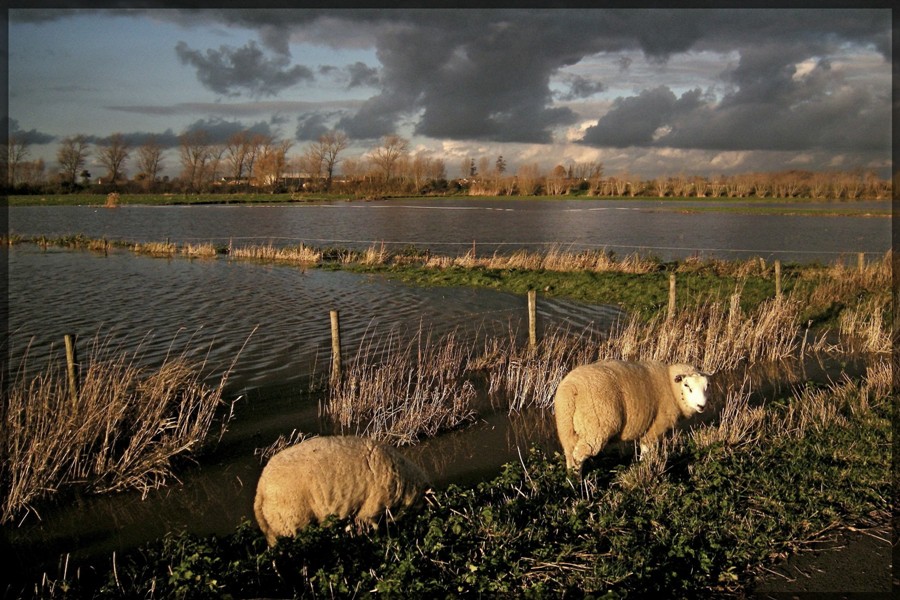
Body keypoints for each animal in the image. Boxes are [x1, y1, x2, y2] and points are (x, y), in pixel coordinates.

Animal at [548, 358, 712, 476]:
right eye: (687, 386)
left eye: (707, 387)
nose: (702, 406)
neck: (671, 388)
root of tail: (571, 388)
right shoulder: (655, 428)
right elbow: (647, 451)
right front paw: (645, 468)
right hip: (596, 427)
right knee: (579, 455)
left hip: (567, 427)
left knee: (570, 455)